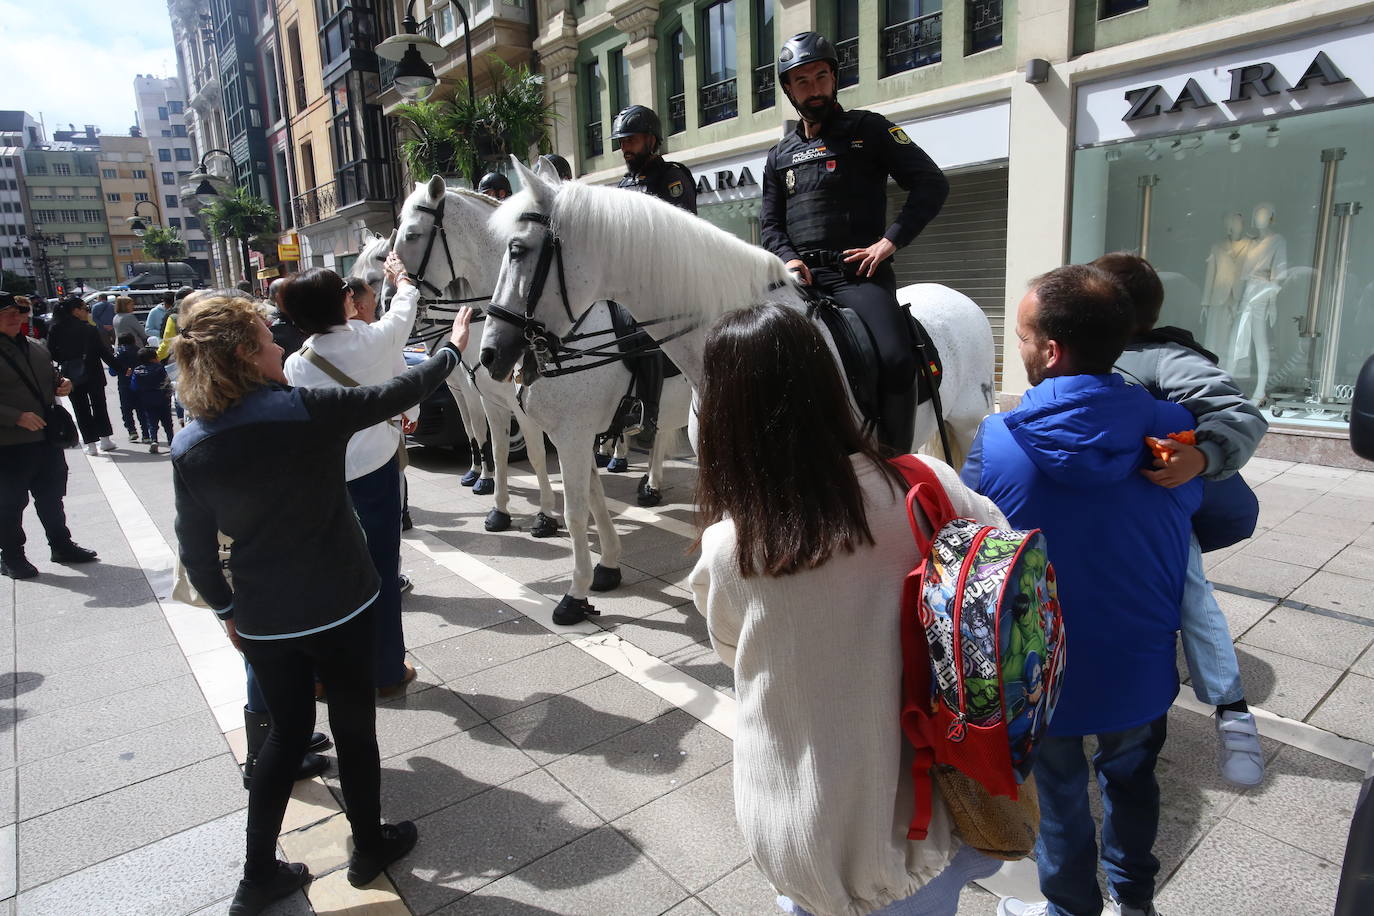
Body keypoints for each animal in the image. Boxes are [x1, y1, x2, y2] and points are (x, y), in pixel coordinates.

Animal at [395, 170, 697, 560]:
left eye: (412, 234)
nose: (389, 298)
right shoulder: (494, 402)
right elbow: (498, 449)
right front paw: (500, 510)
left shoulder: (532, 413)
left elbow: (537, 456)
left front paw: (545, 516)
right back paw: (651, 481)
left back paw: (649, 483)